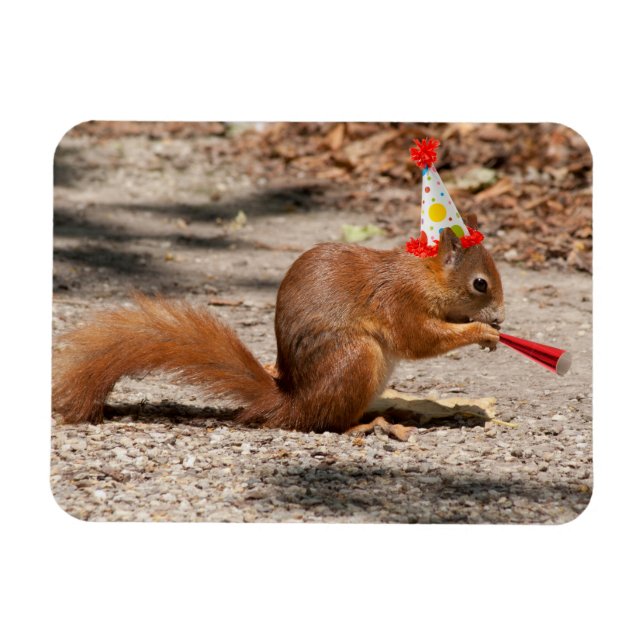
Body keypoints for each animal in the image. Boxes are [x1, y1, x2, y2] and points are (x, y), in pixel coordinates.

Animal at [52, 214, 504, 437]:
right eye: (480, 284)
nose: (500, 317)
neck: (425, 274)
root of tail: (293, 401)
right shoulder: (400, 299)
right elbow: (419, 338)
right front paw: (483, 333)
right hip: (357, 358)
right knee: (328, 423)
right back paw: (371, 424)